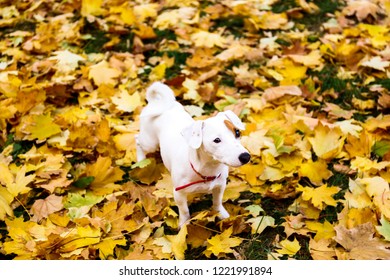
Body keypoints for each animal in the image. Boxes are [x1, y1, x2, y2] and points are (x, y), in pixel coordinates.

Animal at [136, 82, 251, 226]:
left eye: (237, 133)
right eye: (216, 140)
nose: (246, 157)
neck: (206, 170)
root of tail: (158, 103)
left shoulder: (220, 186)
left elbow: (217, 202)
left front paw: (221, 213)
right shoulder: (179, 194)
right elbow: (184, 210)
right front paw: (184, 224)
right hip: (149, 142)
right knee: (137, 140)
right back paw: (140, 160)